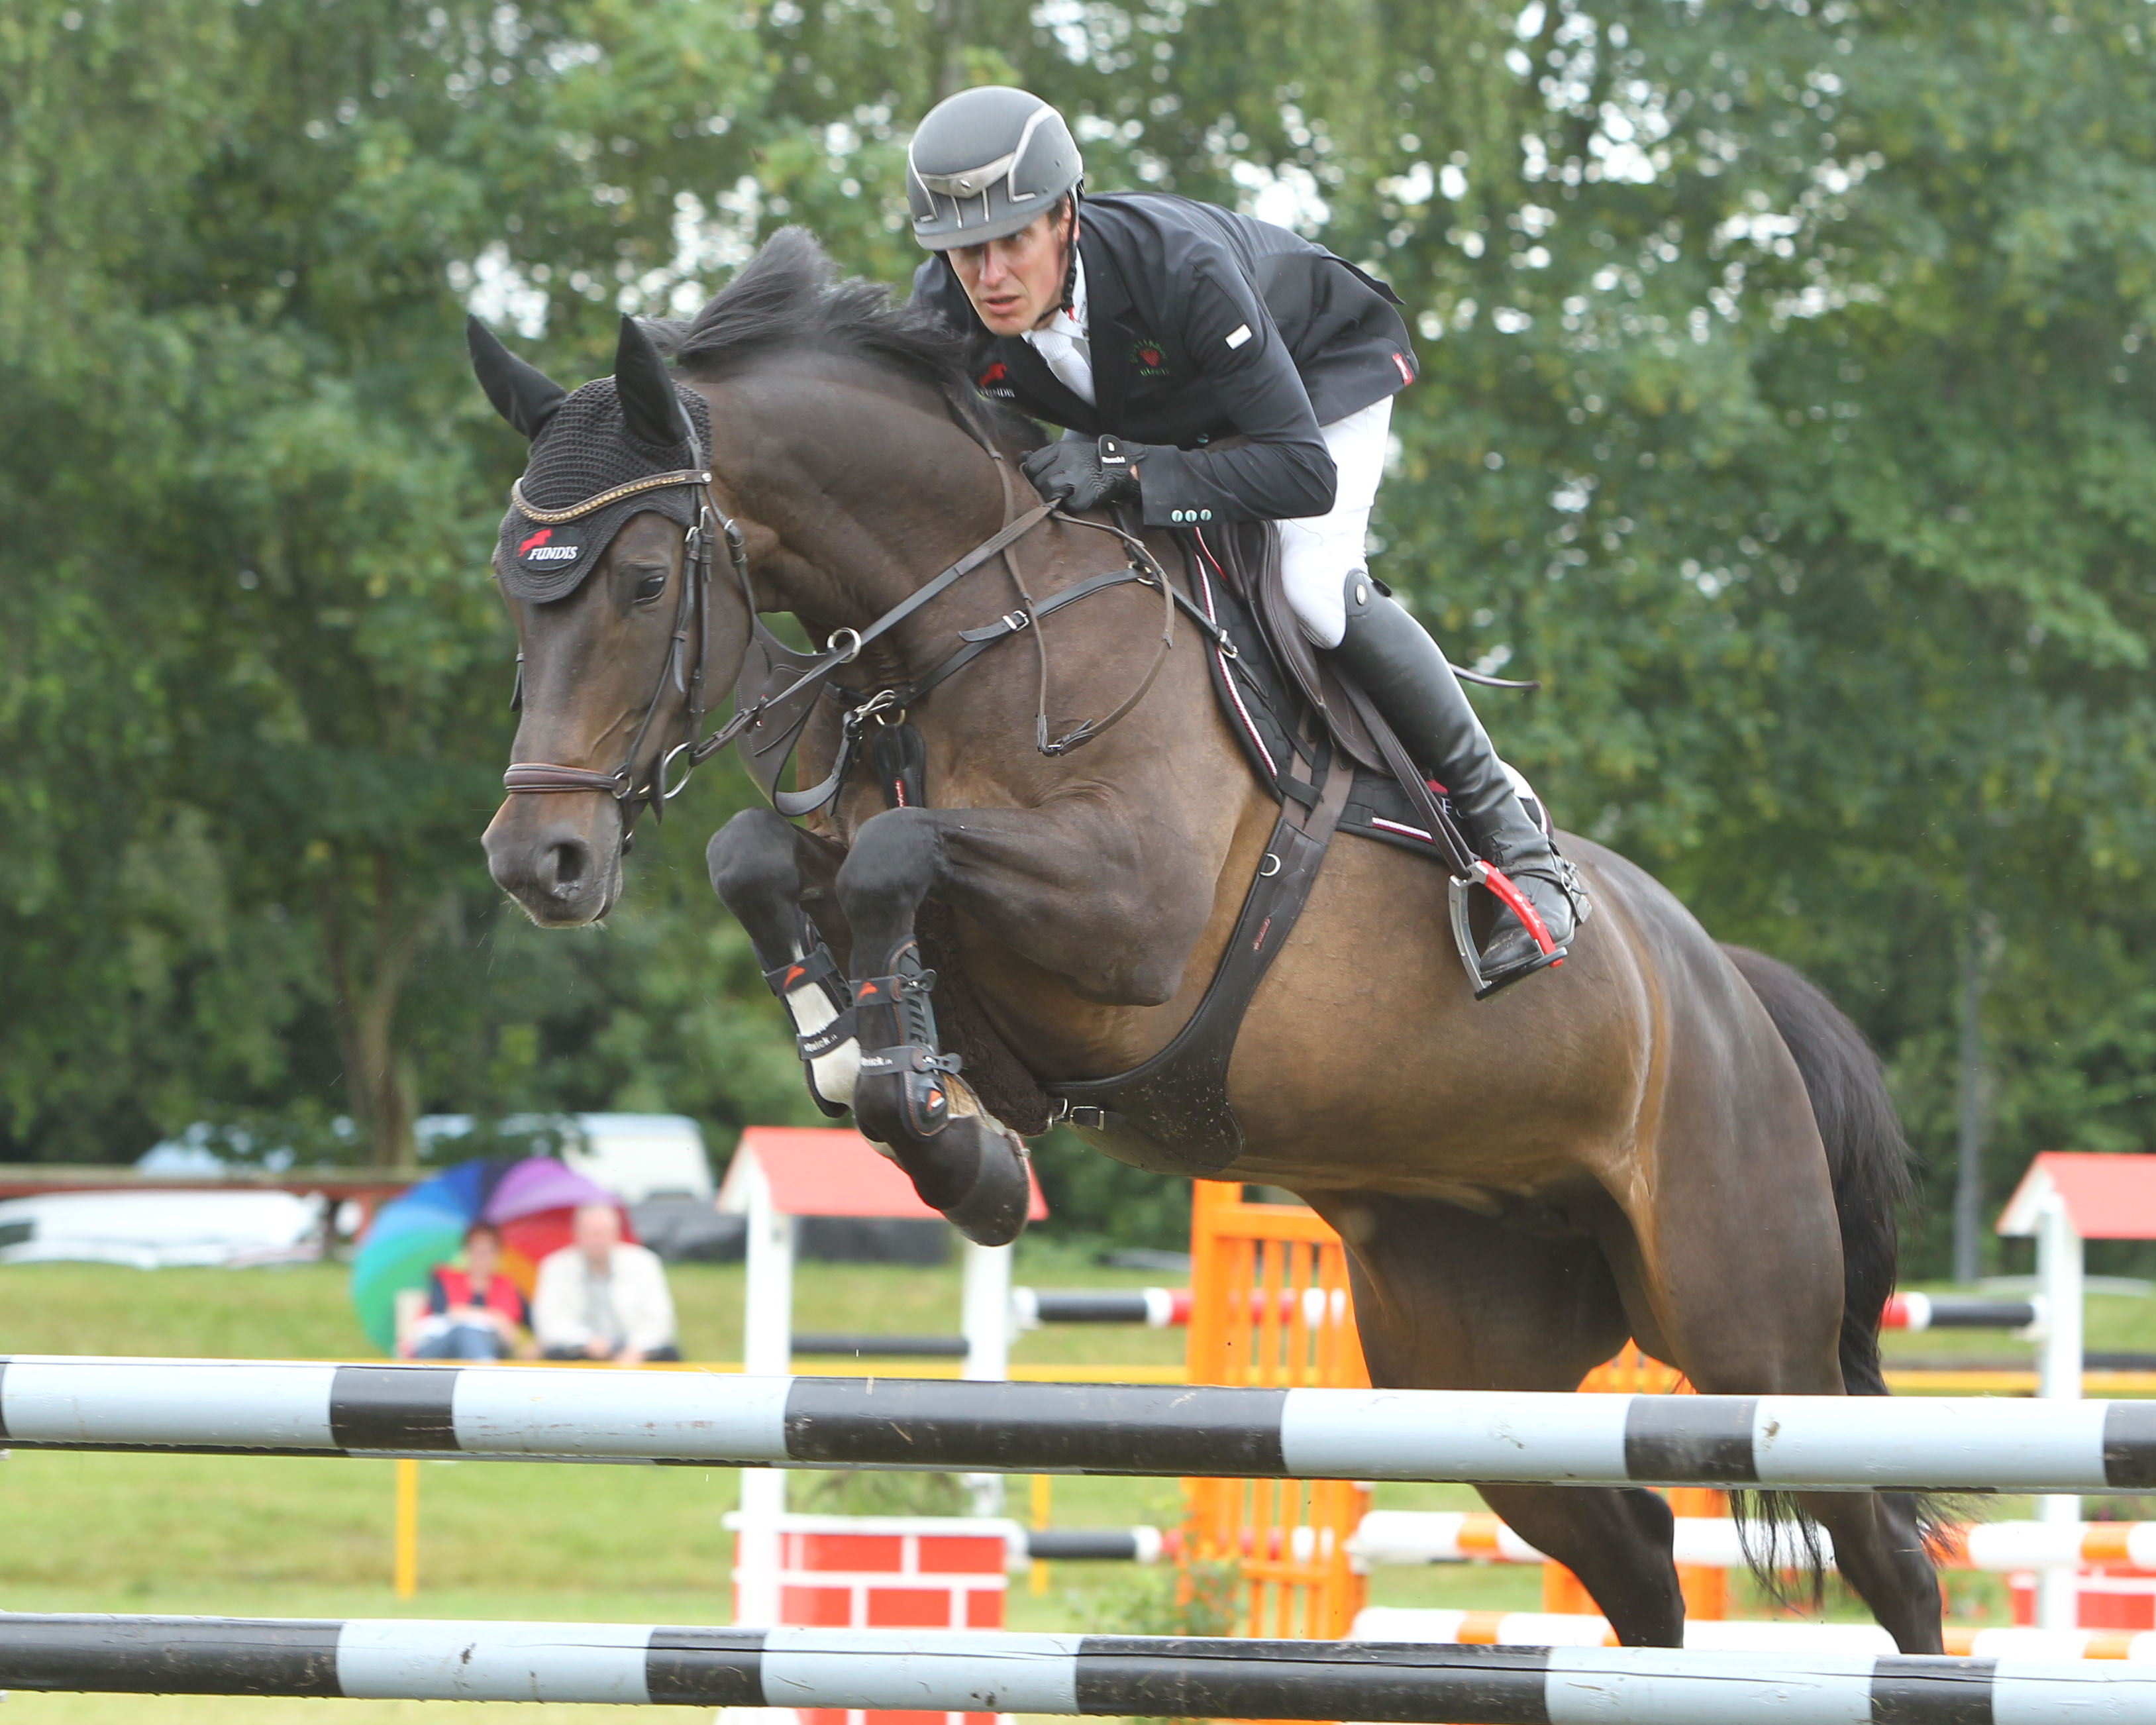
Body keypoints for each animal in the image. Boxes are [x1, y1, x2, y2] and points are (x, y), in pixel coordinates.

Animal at [480, 225, 1949, 1647]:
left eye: (646, 579)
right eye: (512, 587)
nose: (537, 861)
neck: (969, 626)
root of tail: (1733, 993)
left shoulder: (1130, 922)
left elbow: (900, 860)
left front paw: (942, 1128)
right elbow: (760, 861)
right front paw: (892, 1084)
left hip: (1746, 1324)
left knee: (1882, 1542)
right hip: (1475, 1354)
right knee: (1635, 1557)